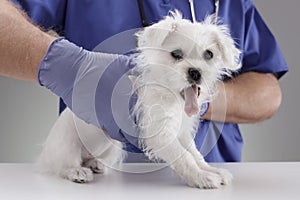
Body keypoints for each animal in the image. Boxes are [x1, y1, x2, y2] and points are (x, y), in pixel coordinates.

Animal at [38, 11, 241, 189]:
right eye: (176, 54)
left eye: (209, 54)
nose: (196, 72)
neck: (172, 96)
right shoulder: (160, 134)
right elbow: (185, 157)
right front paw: (202, 177)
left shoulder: (181, 132)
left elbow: (195, 154)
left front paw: (211, 170)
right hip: (67, 143)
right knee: (63, 165)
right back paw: (76, 171)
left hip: (112, 146)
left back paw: (95, 164)